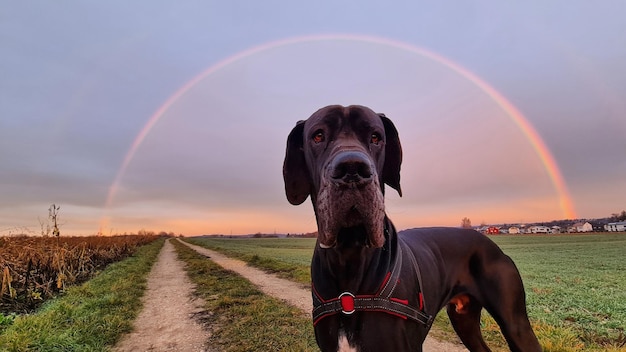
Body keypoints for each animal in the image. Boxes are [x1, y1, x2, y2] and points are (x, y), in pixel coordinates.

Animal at [282, 105, 540, 352]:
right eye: (318, 135)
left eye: (376, 137)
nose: (352, 169)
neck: (348, 253)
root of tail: (488, 241)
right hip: (464, 319)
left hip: (515, 324)